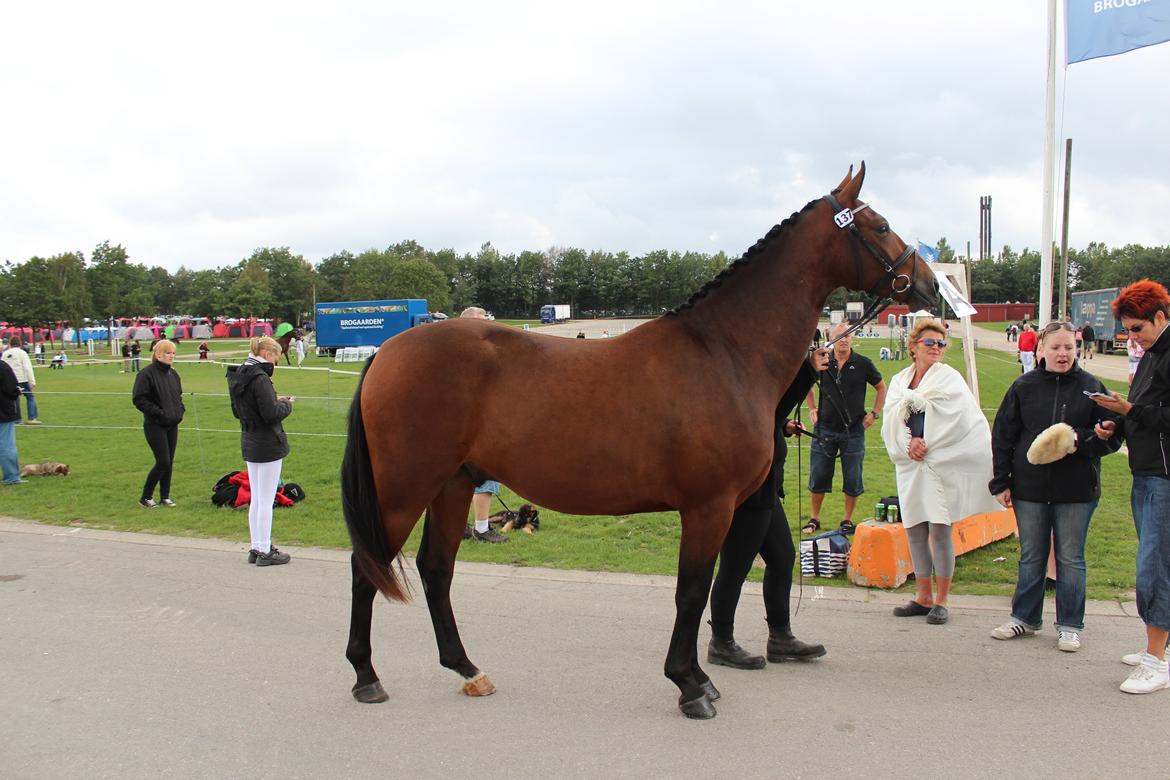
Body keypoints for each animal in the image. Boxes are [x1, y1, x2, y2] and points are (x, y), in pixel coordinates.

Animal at [341, 163, 940, 720]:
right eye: (881, 226)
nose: (931, 287)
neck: (724, 352)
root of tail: (387, 351)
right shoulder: (708, 507)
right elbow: (693, 591)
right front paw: (690, 686)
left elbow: (700, 591)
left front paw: (700, 677)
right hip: (403, 490)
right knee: (367, 566)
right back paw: (366, 676)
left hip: (452, 485)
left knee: (435, 569)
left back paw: (467, 669)